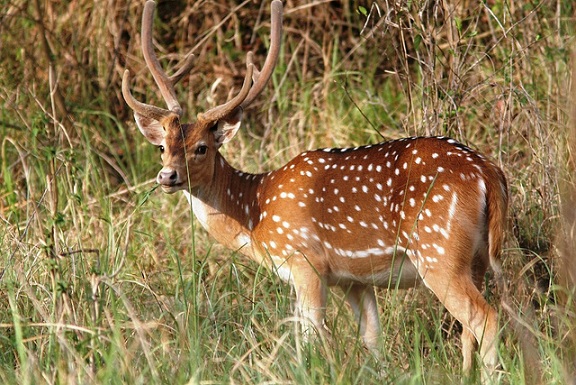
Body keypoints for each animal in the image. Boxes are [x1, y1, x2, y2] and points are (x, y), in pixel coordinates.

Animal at [122, 0, 508, 378]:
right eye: (162, 147)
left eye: (202, 147)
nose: (167, 176)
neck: (255, 212)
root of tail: (488, 173)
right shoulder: (353, 279)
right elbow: (373, 340)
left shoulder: (305, 259)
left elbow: (308, 338)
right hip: (475, 258)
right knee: (469, 329)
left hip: (437, 251)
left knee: (485, 317)